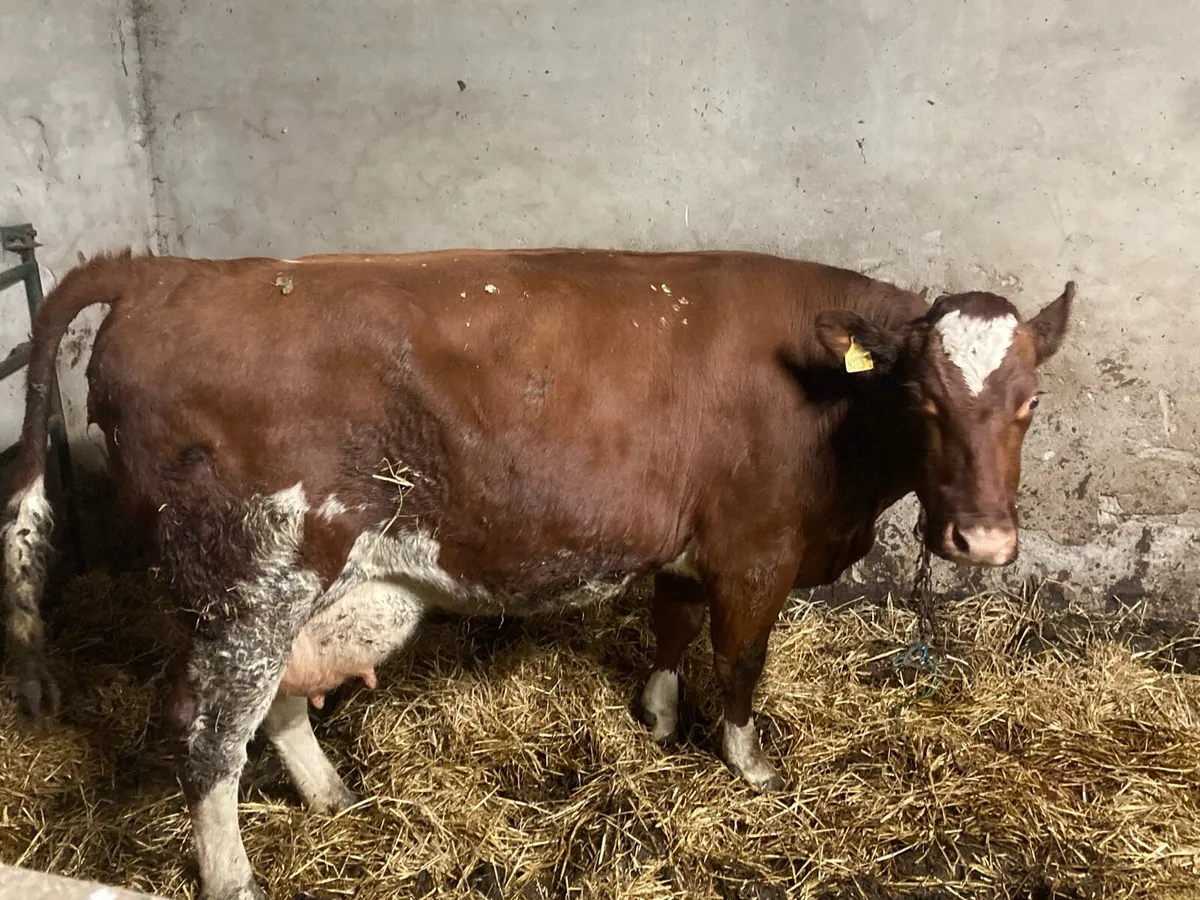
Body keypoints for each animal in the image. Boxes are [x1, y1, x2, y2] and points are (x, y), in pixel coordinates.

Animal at [1, 246, 1073, 900]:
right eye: (925, 399)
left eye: (1029, 402)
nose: (983, 543)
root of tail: (160, 271)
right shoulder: (756, 550)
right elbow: (741, 662)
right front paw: (749, 765)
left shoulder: (686, 543)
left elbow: (671, 627)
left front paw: (654, 719)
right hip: (249, 577)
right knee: (208, 734)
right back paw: (235, 875)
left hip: (302, 584)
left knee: (277, 704)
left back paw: (334, 797)